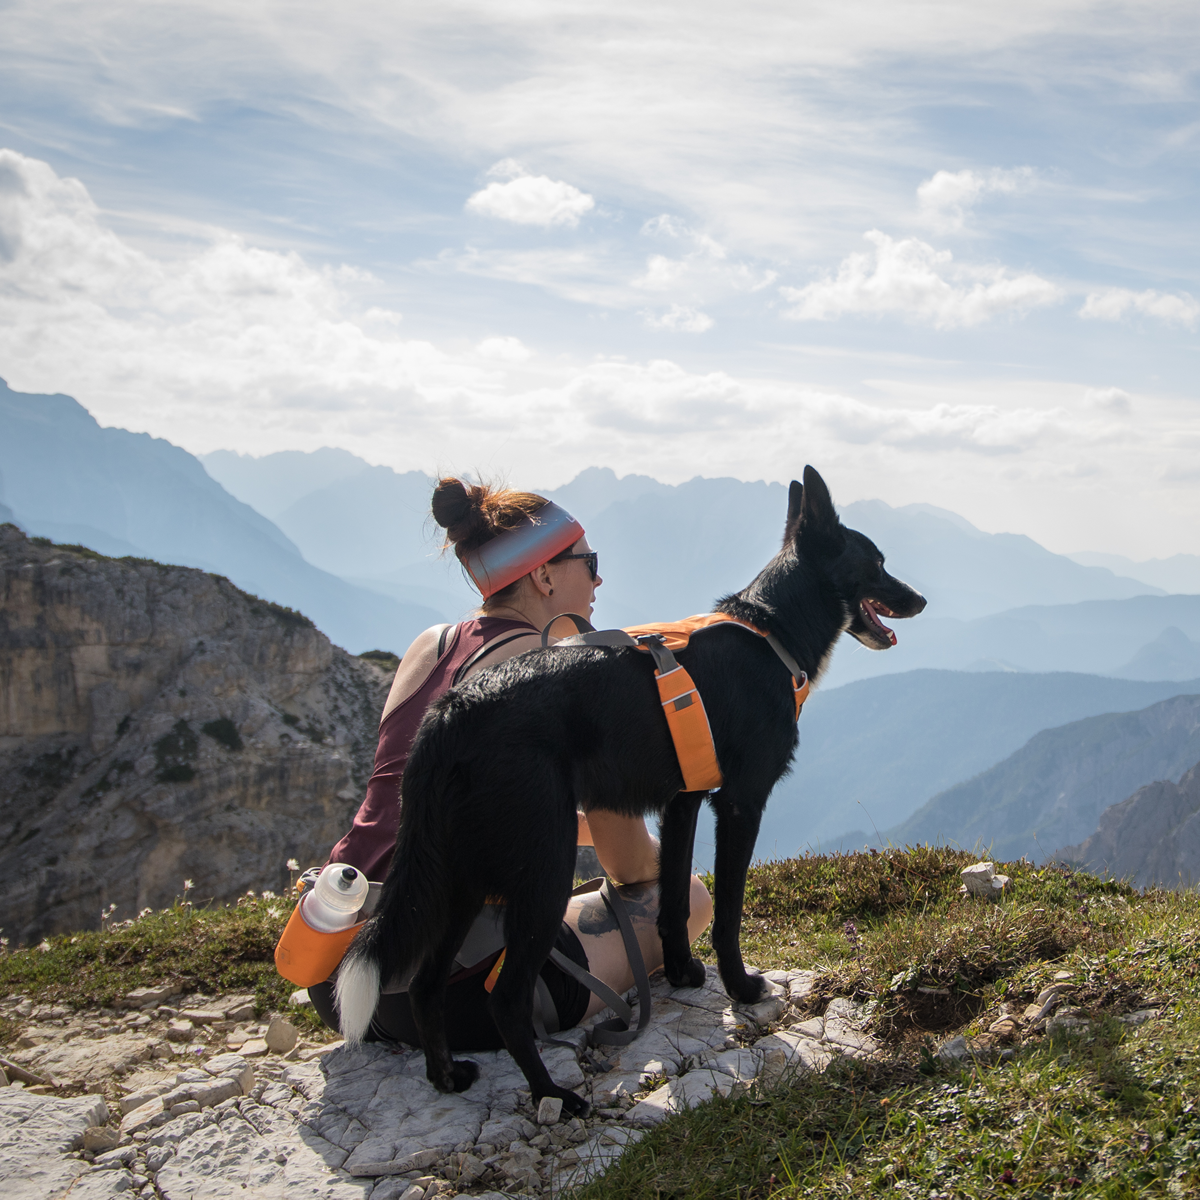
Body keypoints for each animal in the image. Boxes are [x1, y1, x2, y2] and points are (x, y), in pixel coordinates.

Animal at [338, 463, 926, 1108]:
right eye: (876, 562)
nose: (921, 599)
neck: (769, 628)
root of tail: (451, 712)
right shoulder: (740, 804)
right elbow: (727, 912)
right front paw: (741, 987)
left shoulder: (682, 803)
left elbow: (672, 902)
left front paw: (683, 974)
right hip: (541, 872)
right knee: (506, 998)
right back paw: (554, 1096)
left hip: (463, 879)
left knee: (426, 983)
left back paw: (446, 1076)